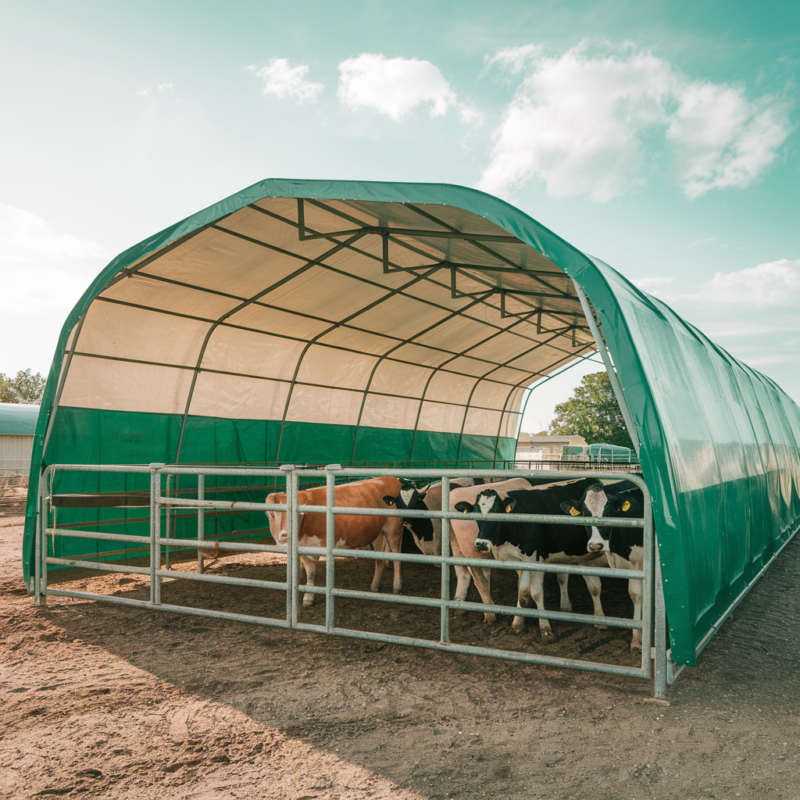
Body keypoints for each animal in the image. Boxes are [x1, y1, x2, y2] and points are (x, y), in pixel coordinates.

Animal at [266, 476, 404, 608]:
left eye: (296, 514)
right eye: (271, 514)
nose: (284, 534)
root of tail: (391, 478)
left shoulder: (315, 547)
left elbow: (311, 571)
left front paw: (308, 598)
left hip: (394, 529)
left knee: (397, 557)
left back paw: (396, 587)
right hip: (378, 534)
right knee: (379, 560)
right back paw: (375, 586)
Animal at [466, 476, 608, 636]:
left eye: (496, 512)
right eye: (475, 514)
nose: (480, 544)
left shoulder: (536, 560)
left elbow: (536, 593)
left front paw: (545, 628)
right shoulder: (519, 561)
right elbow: (522, 594)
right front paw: (517, 624)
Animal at [560, 484, 648, 648]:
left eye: (608, 513)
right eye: (585, 513)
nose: (595, 545)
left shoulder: (637, 565)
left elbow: (636, 595)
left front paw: (636, 639)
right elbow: (594, 588)